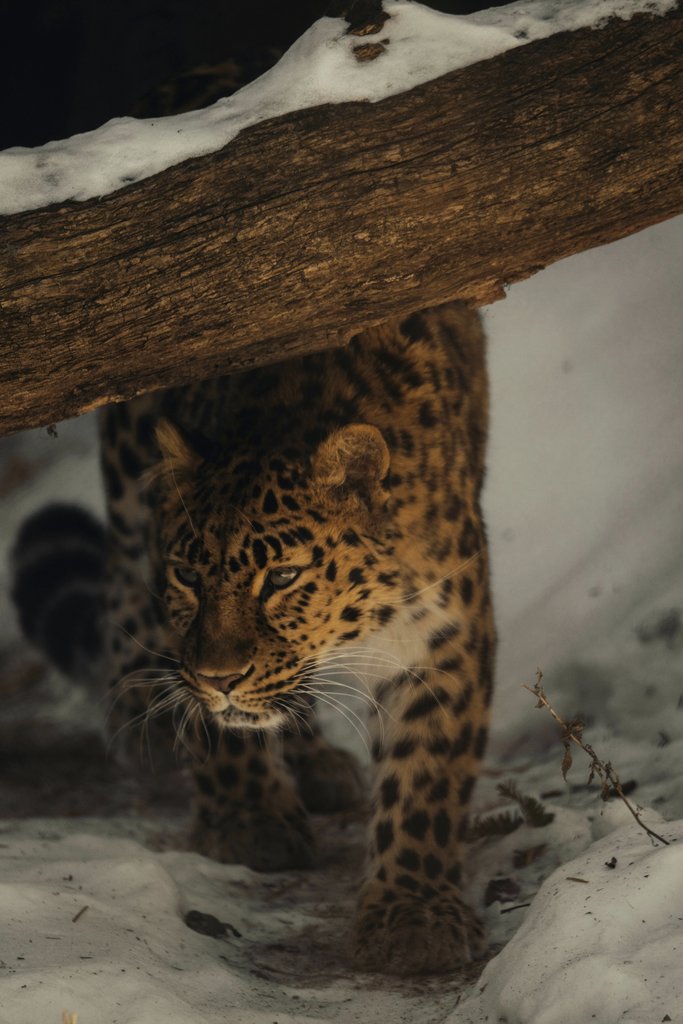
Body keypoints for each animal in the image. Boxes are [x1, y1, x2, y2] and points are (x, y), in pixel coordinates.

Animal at [12, 301, 494, 975]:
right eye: (189, 577)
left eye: (284, 578)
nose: (221, 678)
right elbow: (217, 728)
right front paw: (250, 821)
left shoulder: (443, 632)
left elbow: (427, 775)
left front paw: (414, 915)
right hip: (130, 459)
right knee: (120, 567)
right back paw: (143, 714)